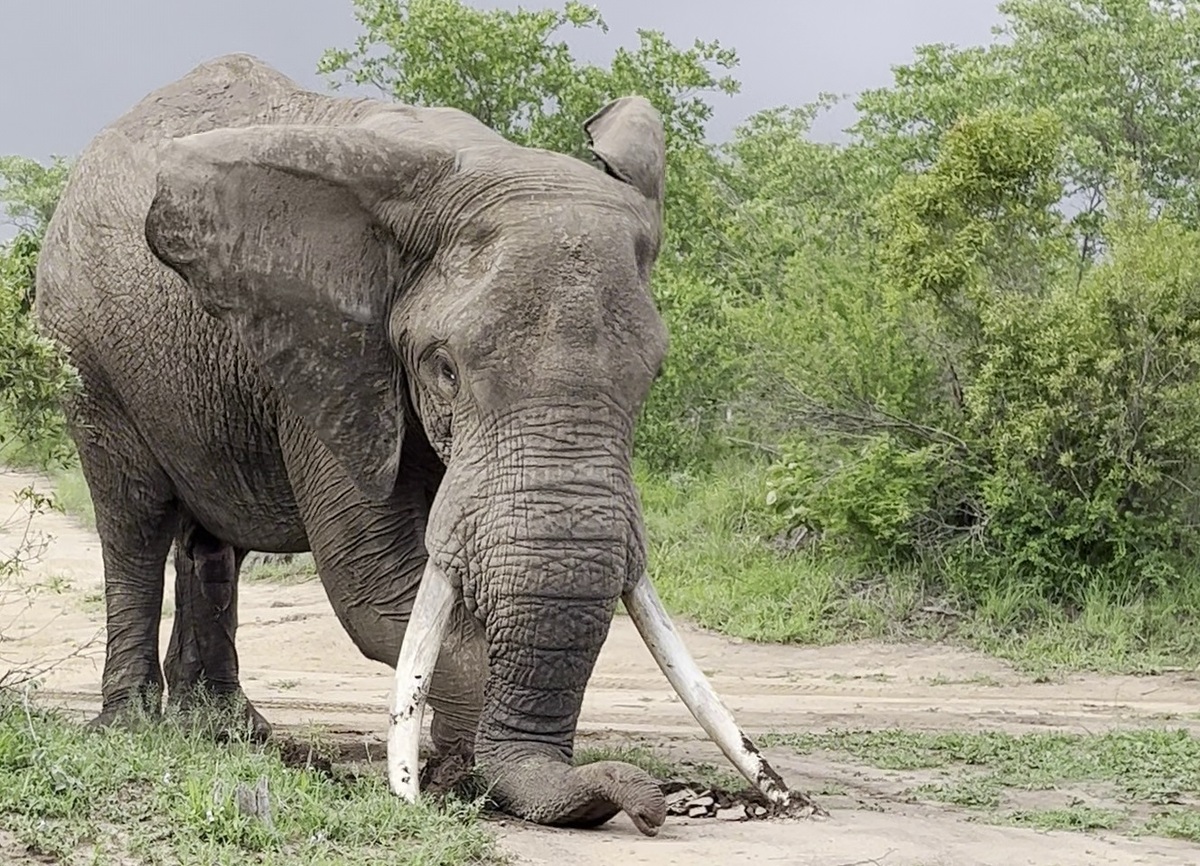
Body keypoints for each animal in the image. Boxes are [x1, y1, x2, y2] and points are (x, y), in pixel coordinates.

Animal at [35, 52, 806, 830]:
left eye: (654, 375)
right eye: (443, 368)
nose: (649, 806)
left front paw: (463, 770)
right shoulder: (332, 354)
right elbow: (375, 583)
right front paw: (460, 777)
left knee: (212, 545)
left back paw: (227, 730)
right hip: (84, 353)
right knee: (133, 522)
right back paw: (133, 726)